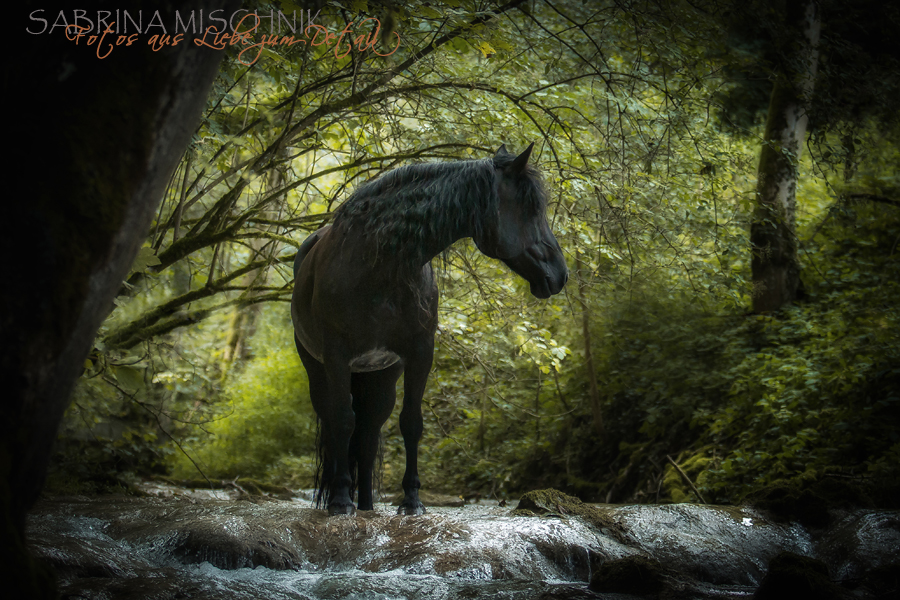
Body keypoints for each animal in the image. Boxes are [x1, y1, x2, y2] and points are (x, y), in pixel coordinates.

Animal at [292, 145, 568, 516]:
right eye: (530, 209)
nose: (561, 274)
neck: (378, 267)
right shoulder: (337, 356)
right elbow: (342, 421)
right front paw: (339, 501)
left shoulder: (420, 353)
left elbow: (411, 423)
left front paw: (412, 501)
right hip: (319, 371)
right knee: (337, 423)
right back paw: (347, 498)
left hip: (381, 377)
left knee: (368, 434)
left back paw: (366, 505)